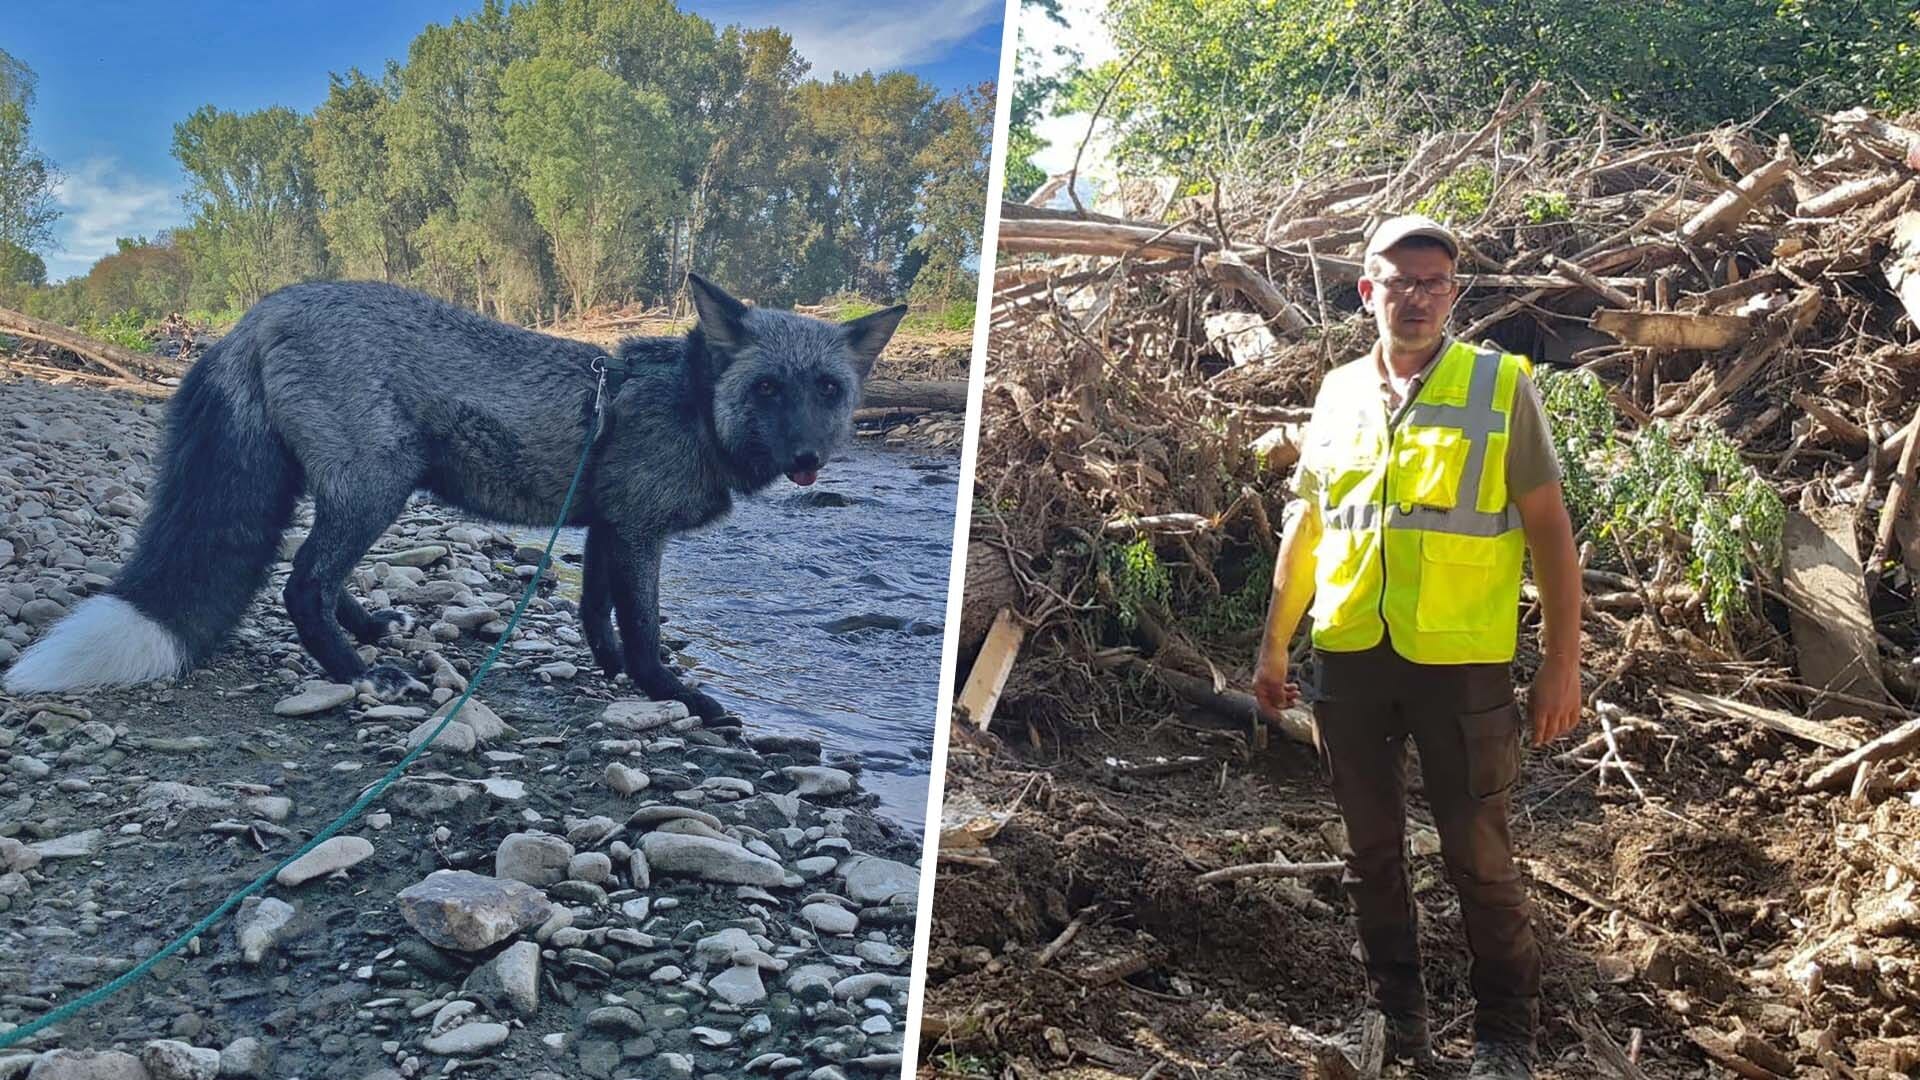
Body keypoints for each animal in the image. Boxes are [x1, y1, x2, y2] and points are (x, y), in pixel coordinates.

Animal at [5, 276, 906, 714]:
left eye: (828, 389)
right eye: (767, 390)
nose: (807, 459)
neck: (689, 400)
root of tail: (255, 316)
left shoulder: (607, 526)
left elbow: (597, 616)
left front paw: (614, 673)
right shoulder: (639, 531)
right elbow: (646, 630)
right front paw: (674, 695)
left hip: (353, 490)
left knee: (317, 577)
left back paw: (370, 630)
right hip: (379, 486)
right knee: (301, 584)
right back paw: (360, 672)